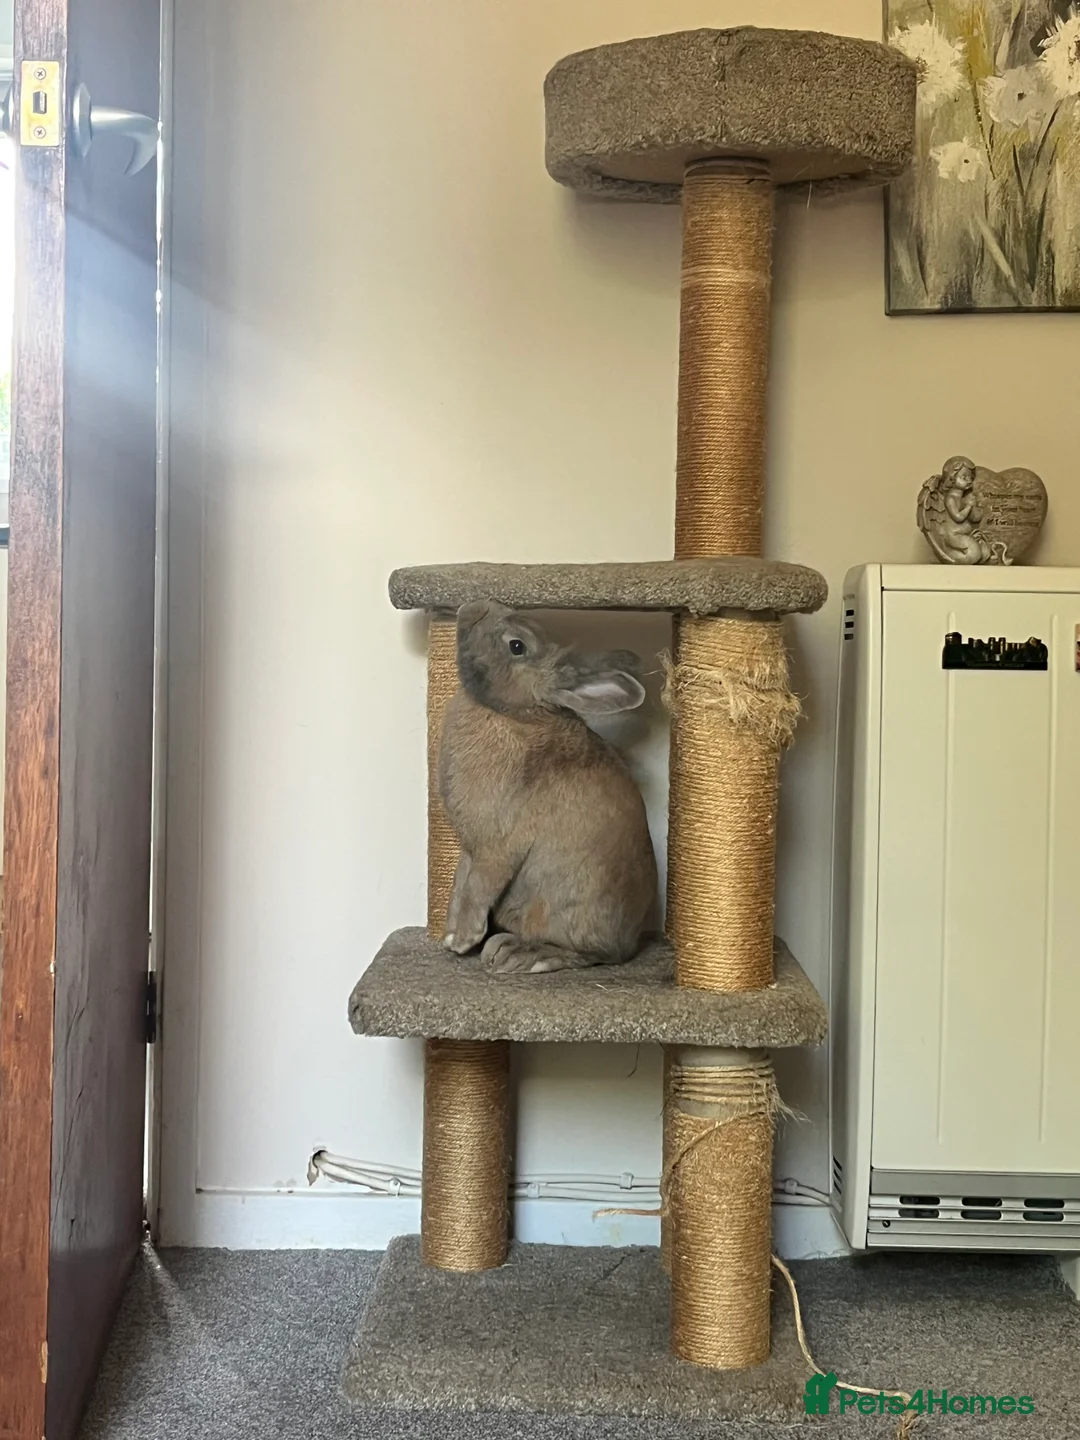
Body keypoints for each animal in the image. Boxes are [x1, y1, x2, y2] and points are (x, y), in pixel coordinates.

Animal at [437, 599, 658, 974]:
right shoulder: (471, 847)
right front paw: (451, 938)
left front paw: (464, 939)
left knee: (592, 954)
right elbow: (459, 885)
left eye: (517, 646)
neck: (518, 713)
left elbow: (478, 888)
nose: (476, 606)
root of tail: (631, 942)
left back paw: (517, 954)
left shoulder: (496, 847)